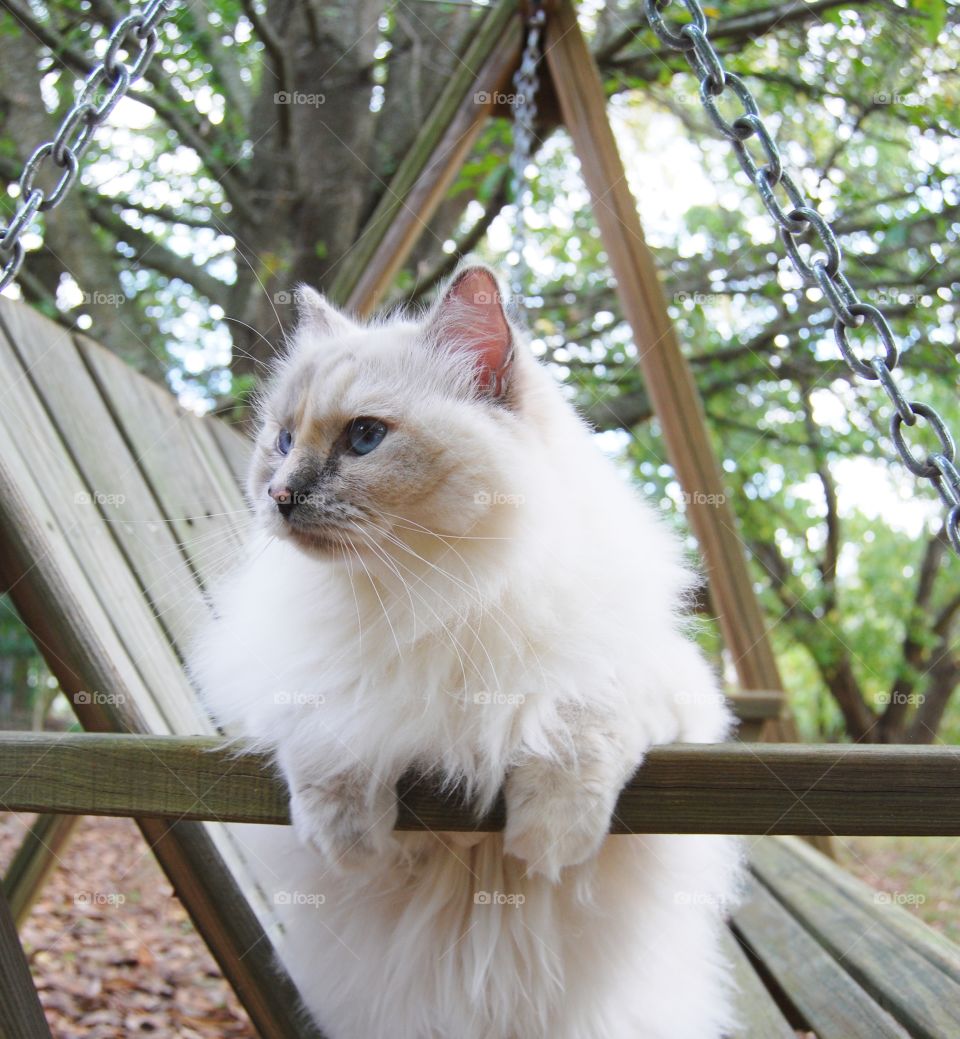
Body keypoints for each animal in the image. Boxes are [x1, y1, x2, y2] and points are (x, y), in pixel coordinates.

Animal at [193, 265, 743, 1039]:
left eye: (365, 437)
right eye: (282, 439)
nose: (279, 494)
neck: (423, 599)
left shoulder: (658, 687)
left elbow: (578, 723)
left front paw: (547, 839)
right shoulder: (312, 694)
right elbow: (334, 741)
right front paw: (348, 840)